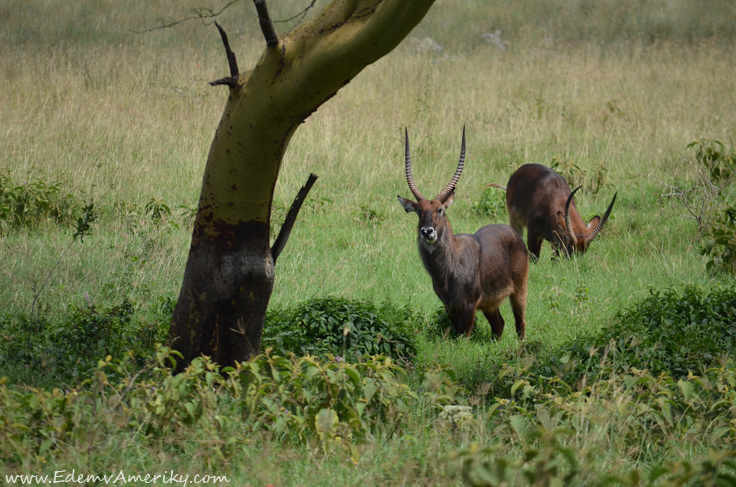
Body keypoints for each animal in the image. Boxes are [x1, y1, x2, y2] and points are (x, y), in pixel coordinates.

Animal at [396, 129, 528, 340]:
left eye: (440, 209)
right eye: (419, 210)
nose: (427, 231)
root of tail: (512, 232)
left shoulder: (469, 305)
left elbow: (462, 337)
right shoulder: (450, 307)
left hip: (519, 289)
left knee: (520, 323)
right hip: (490, 304)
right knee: (499, 325)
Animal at [492, 164, 620, 262]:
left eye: (584, 250)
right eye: (570, 246)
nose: (575, 265)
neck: (554, 196)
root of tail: (519, 171)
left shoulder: (556, 240)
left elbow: (554, 259)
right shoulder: (533, 232)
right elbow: (534, 257)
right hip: (515, 221)